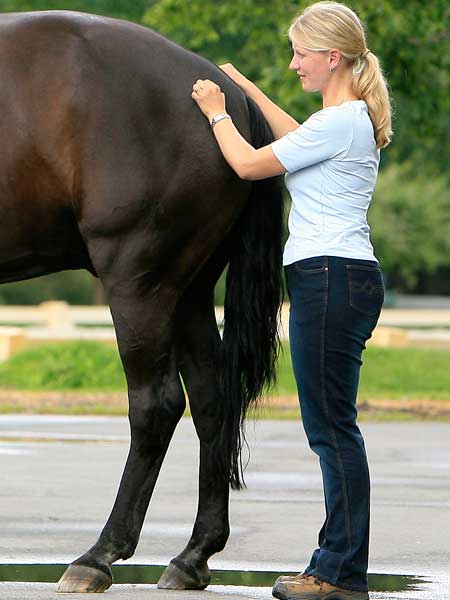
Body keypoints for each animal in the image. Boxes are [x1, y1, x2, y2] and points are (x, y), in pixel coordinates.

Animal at [0, 10, 282, 596]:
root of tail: (231, 96)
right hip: (189, 293)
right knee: (211, 401)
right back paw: (193, 556)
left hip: (140, 283)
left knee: (156, 407)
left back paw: (98, 555)